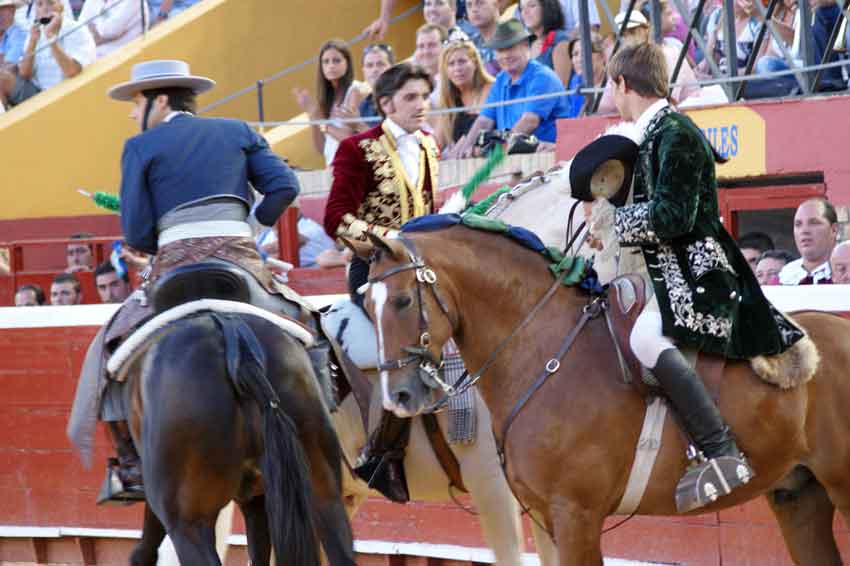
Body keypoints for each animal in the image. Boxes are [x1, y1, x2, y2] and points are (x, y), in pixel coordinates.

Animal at [352, 226, 850, 566]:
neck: (543, 348)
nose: (399, 395)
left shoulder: (577, 515)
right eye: (367, 307)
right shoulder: (546, 517)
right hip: (799, 496)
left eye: (401, 301)